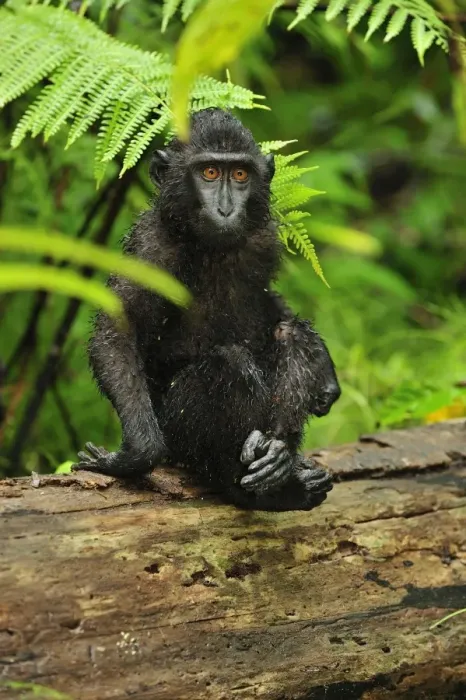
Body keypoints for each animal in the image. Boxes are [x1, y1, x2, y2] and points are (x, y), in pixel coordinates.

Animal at [73, 108, 341, 511]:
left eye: (240, 174)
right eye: (210, 173)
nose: (226, 208)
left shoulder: (264, 236)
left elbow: (271, 305)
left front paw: (325, 374)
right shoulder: (150, 247)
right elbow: (118, 328)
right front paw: (135, 455)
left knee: (289, 334)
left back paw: (278, 455)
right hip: (179, 440)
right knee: (229, 364)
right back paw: (259, 486)